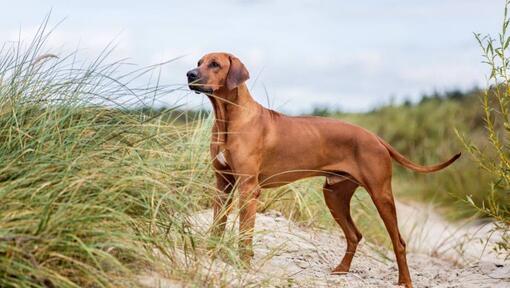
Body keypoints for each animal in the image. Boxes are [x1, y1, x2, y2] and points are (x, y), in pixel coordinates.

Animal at [186, 52, 458, 288]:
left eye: (215, 64)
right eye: (198, 62)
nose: (189, 74)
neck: (228, 119)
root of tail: (376, 138)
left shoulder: (247, 188)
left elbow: (245, 233)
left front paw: (242, 266)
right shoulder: (223, 184)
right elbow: (217, 224)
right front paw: (211, 252)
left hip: (381, 195)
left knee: (398, 242)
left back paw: (405, 281)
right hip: (334, 194)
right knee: (354, 234)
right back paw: (342, 270)